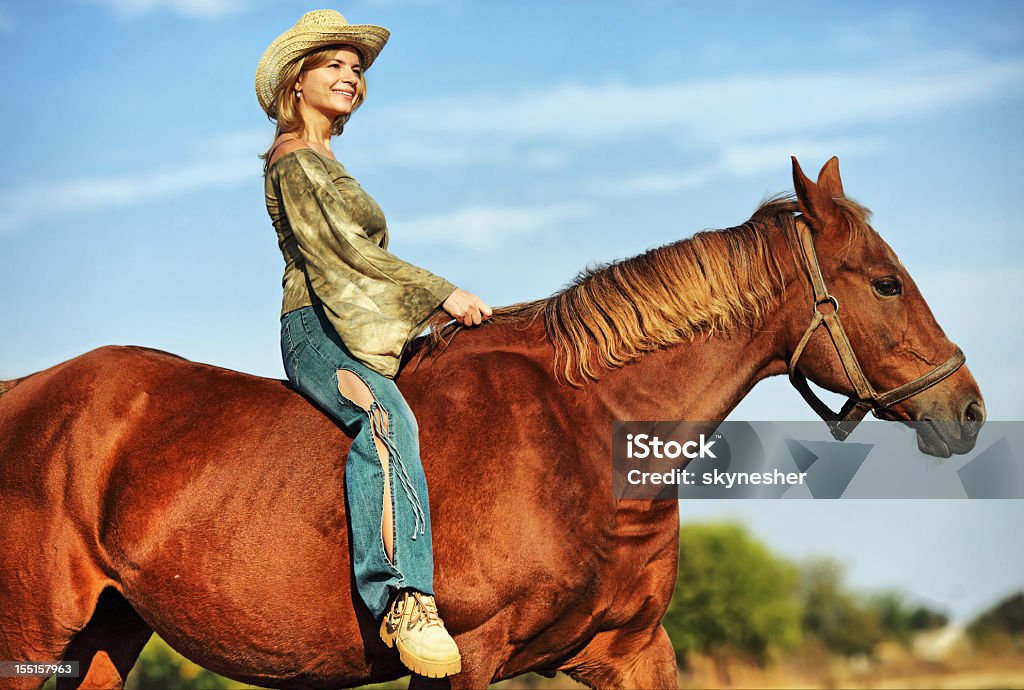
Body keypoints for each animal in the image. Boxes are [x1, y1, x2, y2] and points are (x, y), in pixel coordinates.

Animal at [4, 157, 987, 687]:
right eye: (885, 281)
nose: (968, 409)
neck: (579, 437)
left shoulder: (630, 651)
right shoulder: (469, 660)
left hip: (103, 639)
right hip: (34, 638)